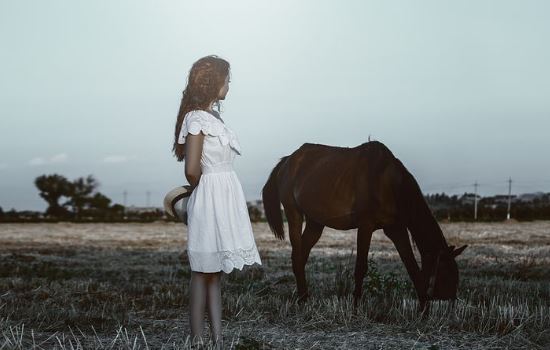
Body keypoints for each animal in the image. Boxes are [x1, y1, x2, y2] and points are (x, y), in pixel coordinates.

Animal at [260, 141, 468, 310]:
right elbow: (361, 267)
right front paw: (355, 306)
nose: (450, 302)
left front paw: (423, 310)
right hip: (294, 213)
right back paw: (302, 299)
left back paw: (304, 297)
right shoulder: (366, 226)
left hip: (315, 223)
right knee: (297, 254)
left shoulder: (396, 229)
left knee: (301, 256)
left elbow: (410, 265)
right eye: (446, 273)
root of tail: (287, 161)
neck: (388, 182)